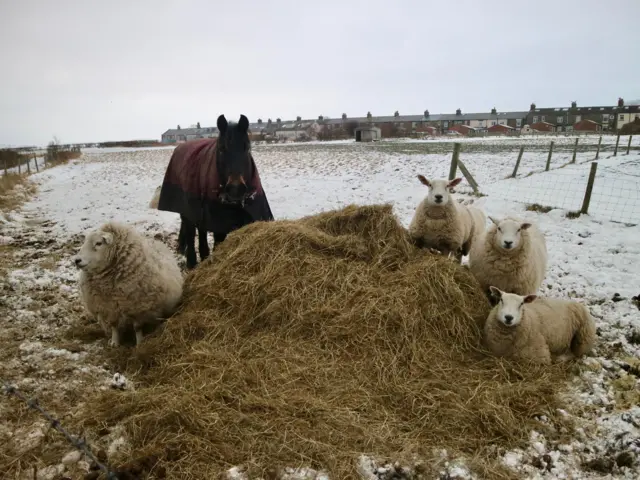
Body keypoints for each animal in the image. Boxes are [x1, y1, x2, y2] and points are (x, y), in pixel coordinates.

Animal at [158, 114, 276, 268]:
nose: (236, 188)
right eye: (221, 149)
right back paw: (191, 261)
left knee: (200, 230)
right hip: (187, 209)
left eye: (247, 148)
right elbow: (217, 242)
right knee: (190, 231)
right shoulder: (218, 222)